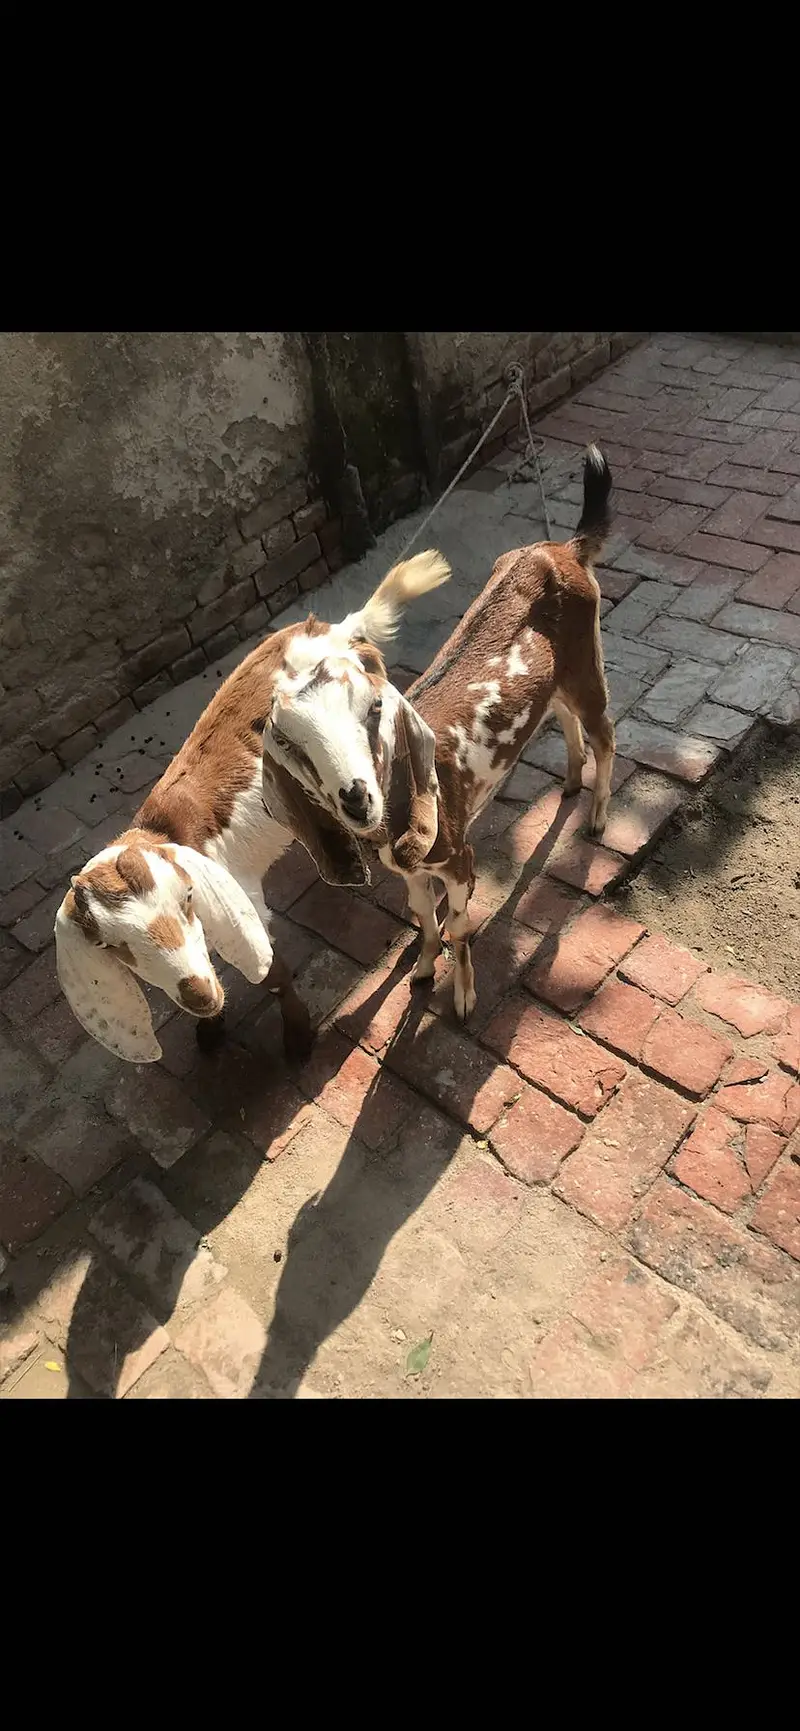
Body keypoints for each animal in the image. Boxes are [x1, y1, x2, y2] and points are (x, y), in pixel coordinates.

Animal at [54, 548, 450, 1064]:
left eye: (186, 898)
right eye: (110, 946)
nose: (199, 995)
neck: (165, 832)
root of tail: (337, 629)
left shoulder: (242, 901)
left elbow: (274, 973)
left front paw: (298, 1039)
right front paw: (209, 1028)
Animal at [260, 444, 615, 1022]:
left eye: (373, 708)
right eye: (289, 744)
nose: (357, 797)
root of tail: (564, 549)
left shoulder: (459, 858)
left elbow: (460, 926)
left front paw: (465, 998)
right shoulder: (410, 871)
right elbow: (425, 919)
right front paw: (424, 969)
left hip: (587, 661)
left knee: (606, 733)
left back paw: (599, 817)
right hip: (558, 679)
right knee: (562, 716)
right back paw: (568, 782)